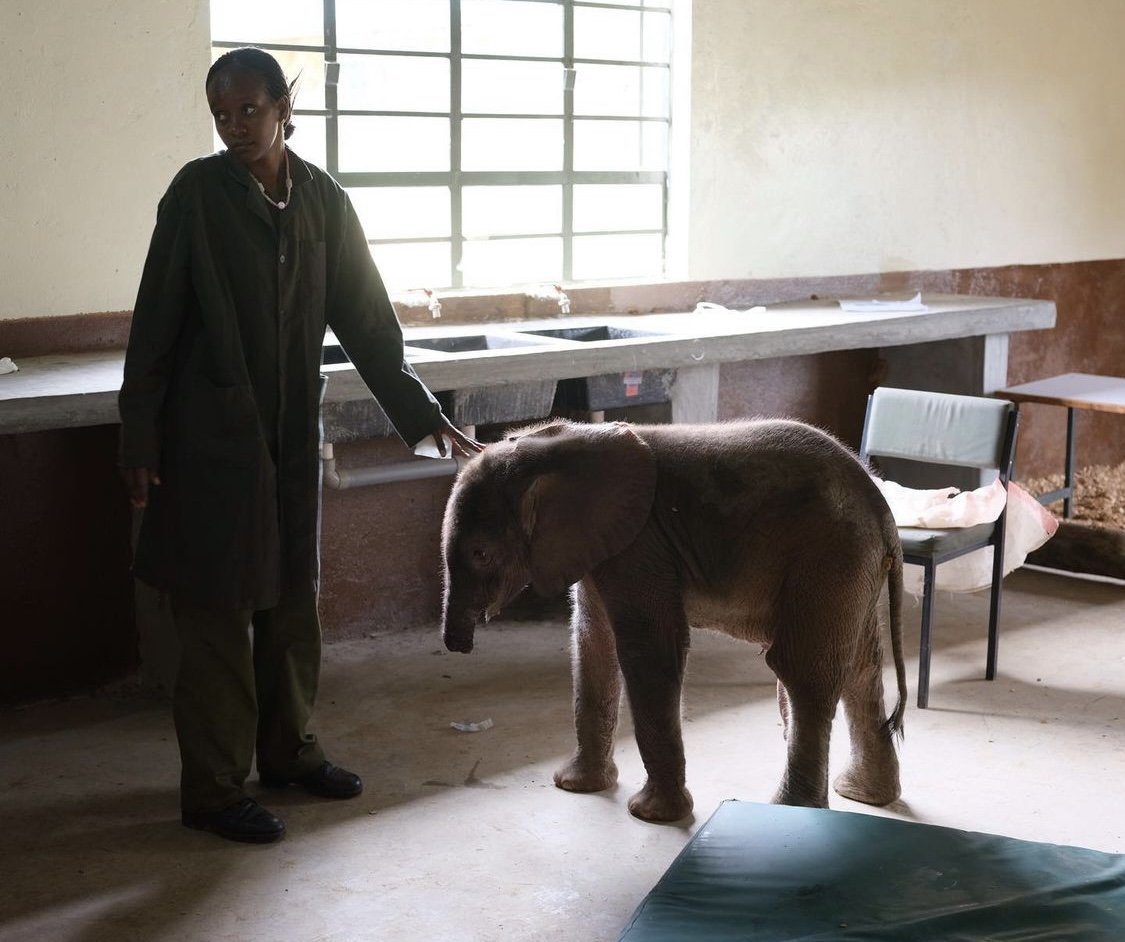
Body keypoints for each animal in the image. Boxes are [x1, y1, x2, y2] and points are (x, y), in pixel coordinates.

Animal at [438, 420, 904, 823]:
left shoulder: (641, 544)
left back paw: (789, 813)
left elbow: (649, 651)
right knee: (860, 671)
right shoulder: (604, 546)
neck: (549, 445)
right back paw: (864, 796)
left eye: (480, 554)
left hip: (828, 556)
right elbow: (592, 645)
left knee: (801, 673)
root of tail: (885, 516)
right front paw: (574, 787)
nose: (459, 646)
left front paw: (651, 816)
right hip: (851, 566)